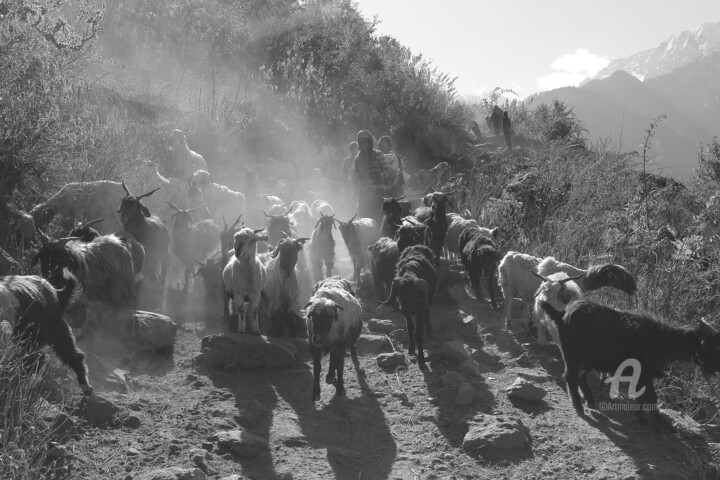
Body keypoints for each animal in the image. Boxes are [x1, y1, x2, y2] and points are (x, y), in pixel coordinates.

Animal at [536, 300, 720, 424]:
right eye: (713, 346)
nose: (716, 368)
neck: (660, 339)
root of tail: (561, 315)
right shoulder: (643, 372)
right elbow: (650, 396)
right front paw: (659, 423)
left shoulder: (644, 375)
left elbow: (643, 396)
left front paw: (642, 416)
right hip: (571, 353)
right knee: (570, 376)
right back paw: (579, 408)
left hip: (589, 358)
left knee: (581, 376)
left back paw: (590, 401)